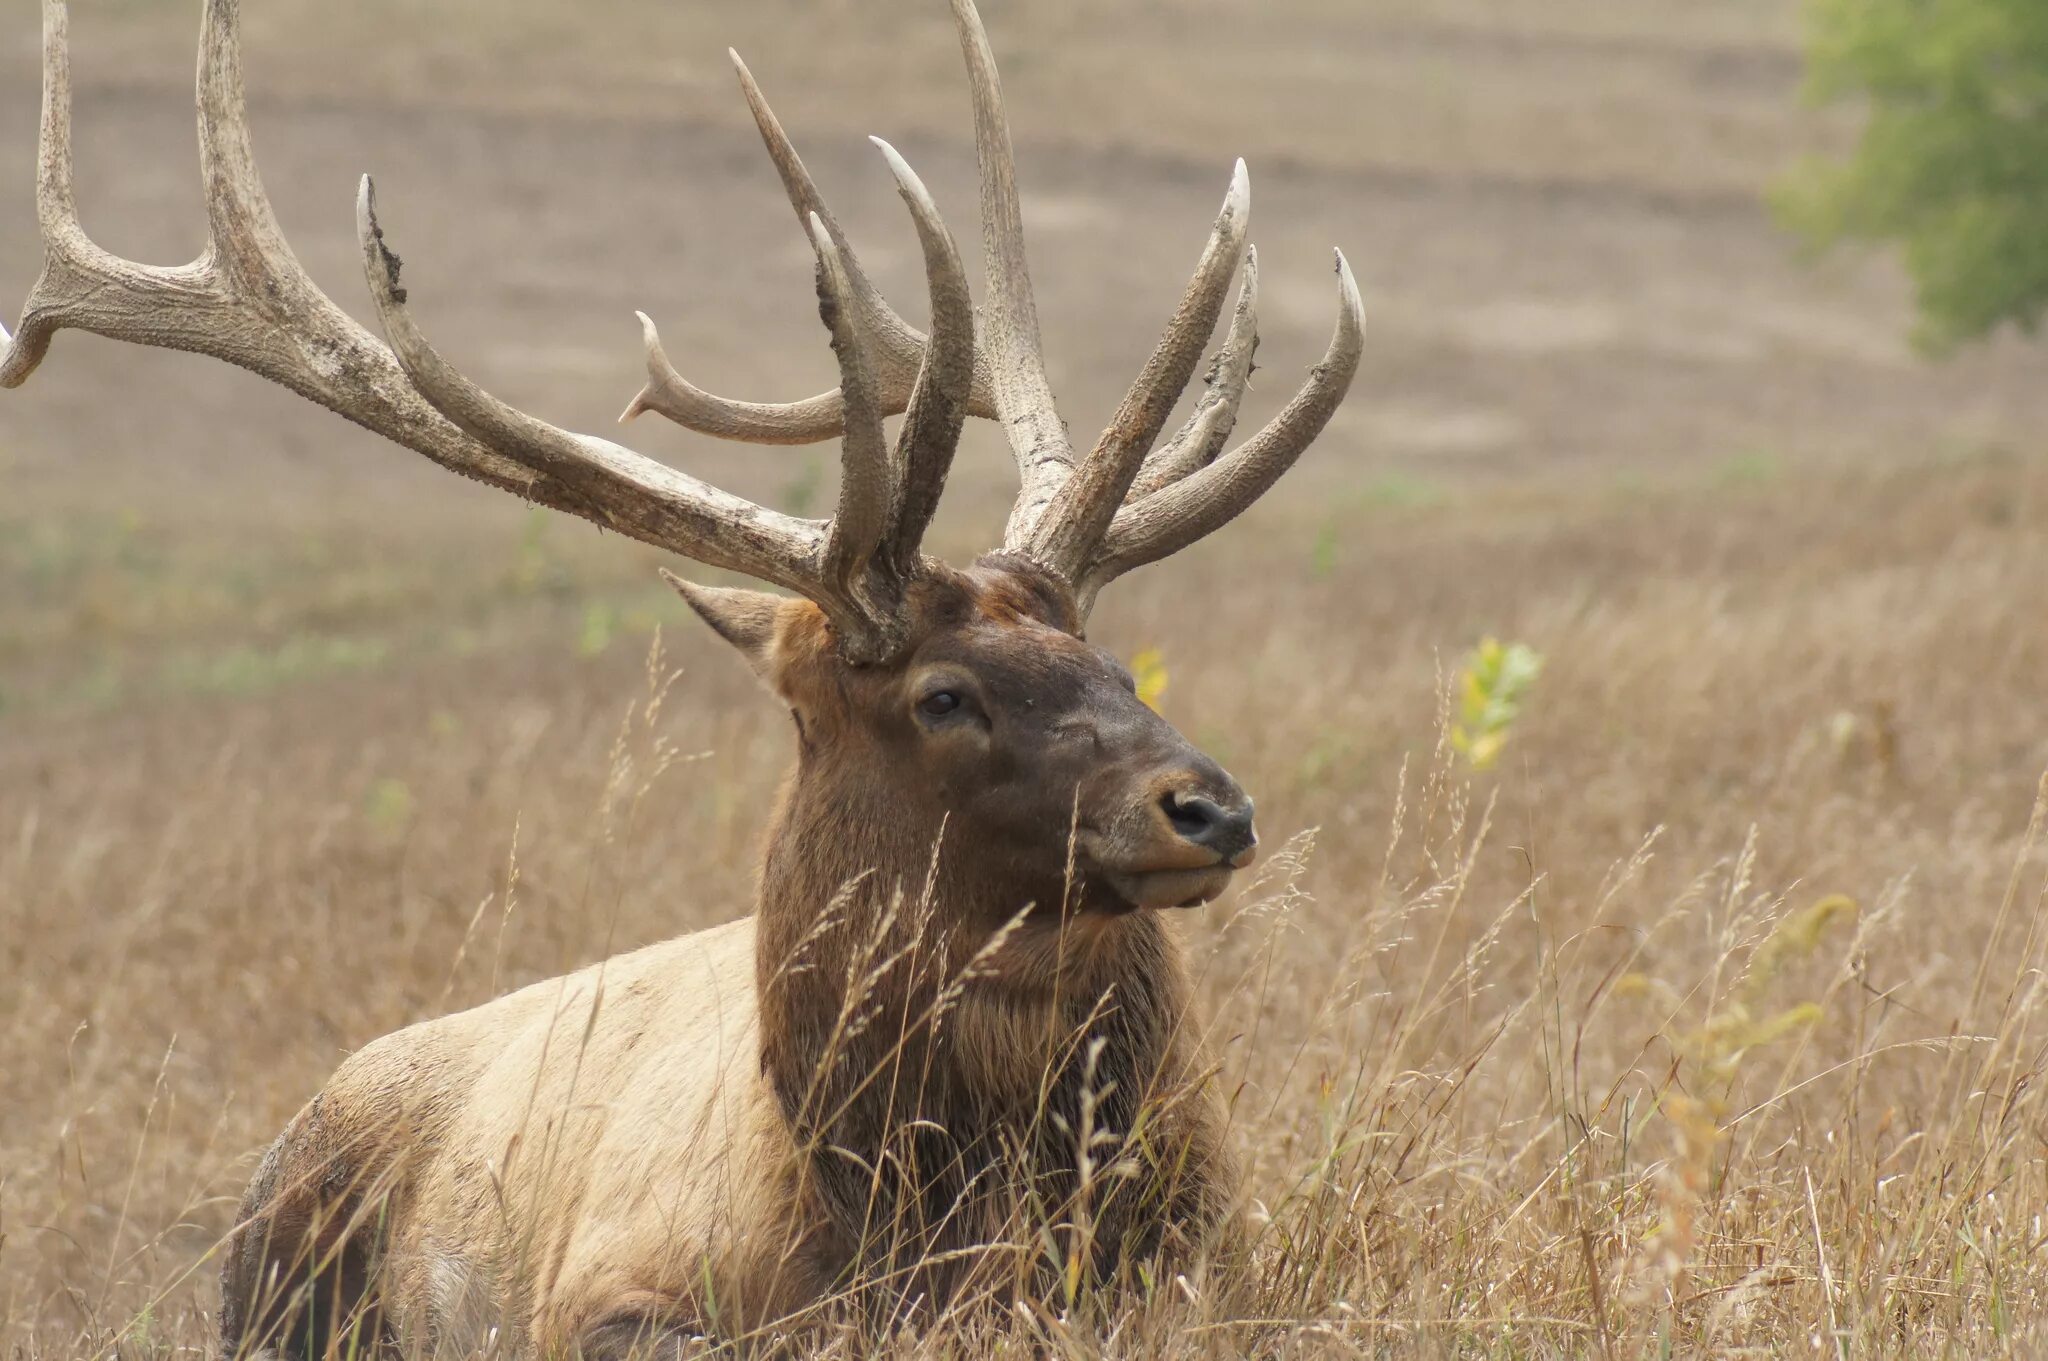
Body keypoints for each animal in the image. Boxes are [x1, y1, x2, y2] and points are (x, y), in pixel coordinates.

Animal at [8, 0, 1368, 1350]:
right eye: (940, 695)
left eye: (1107, 655)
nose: (1207, 806)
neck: (916, 1236)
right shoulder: (613, 1293)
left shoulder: (1222, 1260)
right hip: (268, 1269)